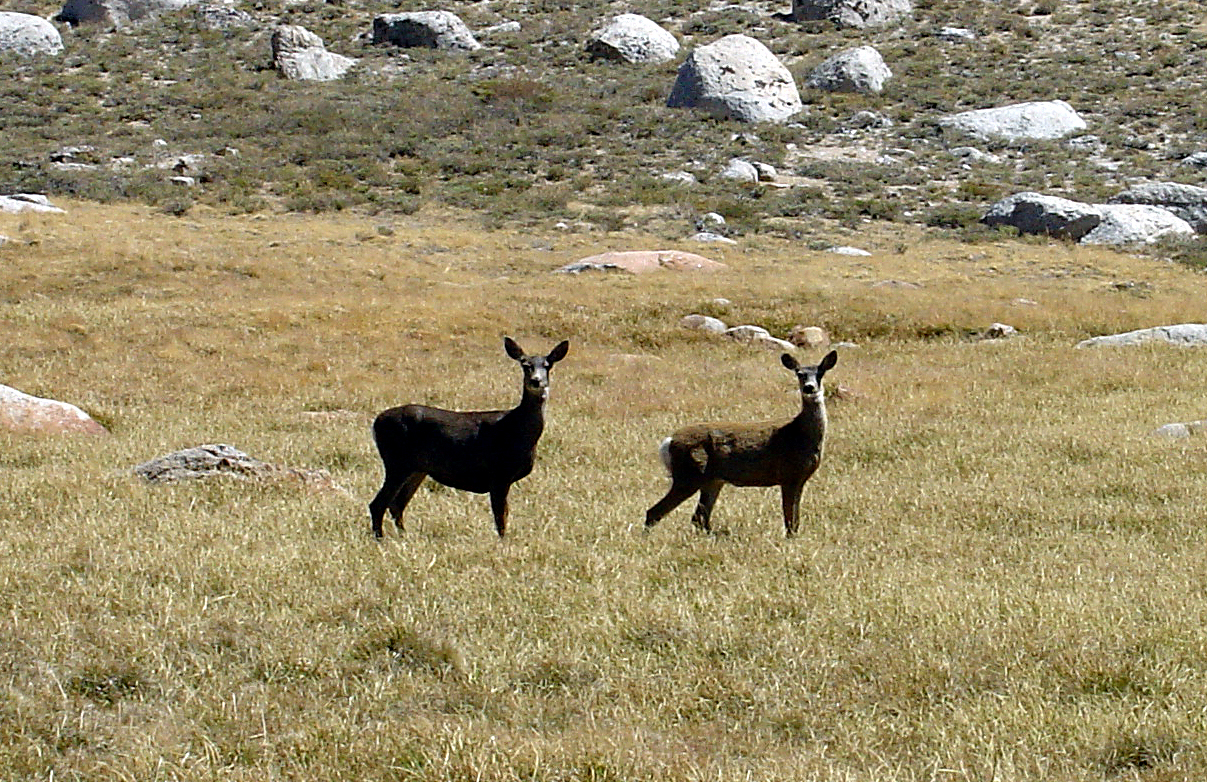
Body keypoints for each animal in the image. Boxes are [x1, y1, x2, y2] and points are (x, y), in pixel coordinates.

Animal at [368, 337, 570, 539]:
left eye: (548, 365)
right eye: (525, 364)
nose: (536, 381)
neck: (517, 430)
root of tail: (376, 421)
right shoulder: (499, 473)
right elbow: (501, 516)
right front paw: (503, 541)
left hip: (417, 468)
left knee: (397, 504)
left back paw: (404, 535)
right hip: (397, 460)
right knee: (378, 503)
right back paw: (381, 539)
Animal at [644, 350, 838, 538]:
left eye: (820, 373)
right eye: (799, 374)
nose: (809, 387)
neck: (799, 434)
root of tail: (668, 442)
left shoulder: (800, 478)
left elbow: (795, 518)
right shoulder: (788, 475)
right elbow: (790, 519)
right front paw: (790, 539)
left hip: (711, 480)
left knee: (699, 517)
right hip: (688, 474)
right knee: (655, 512)